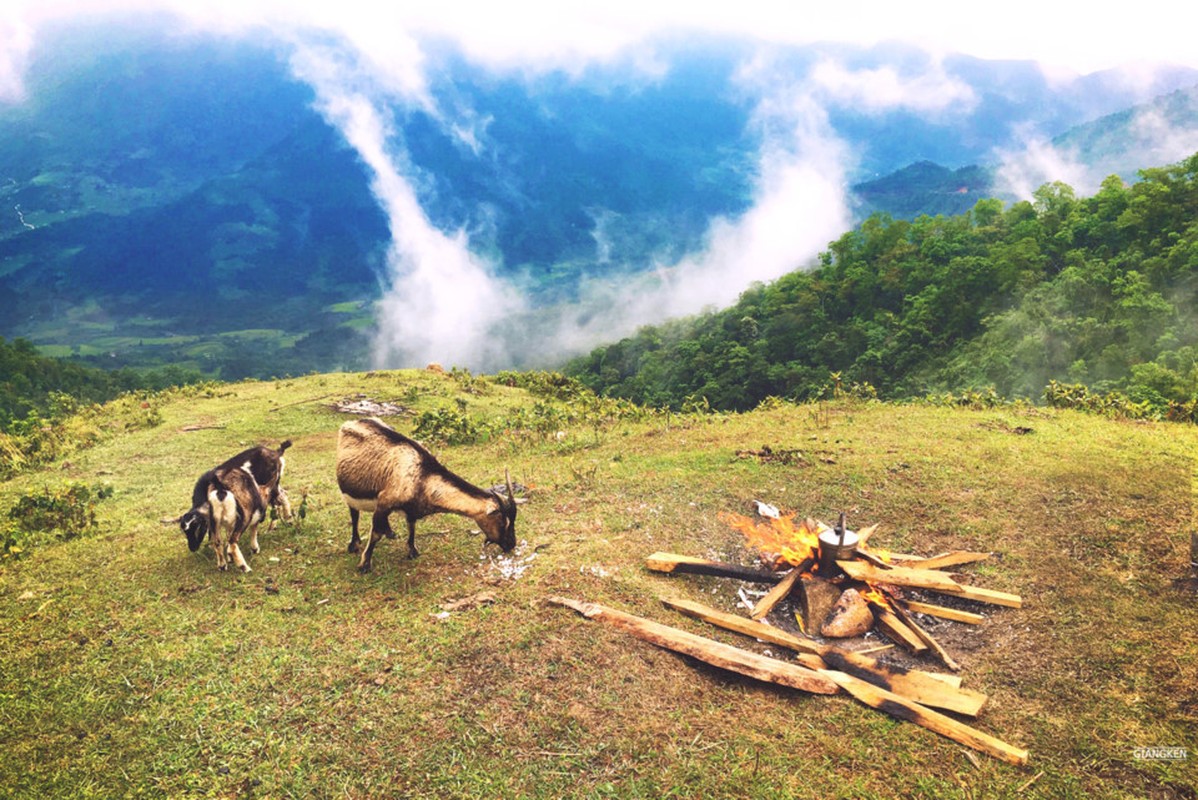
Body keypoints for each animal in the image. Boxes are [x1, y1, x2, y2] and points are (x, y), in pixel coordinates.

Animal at [337, 416, 524, 572]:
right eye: (503, 521)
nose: (511, 544)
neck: (422, 475)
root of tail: (353, 421)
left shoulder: (411, 510)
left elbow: (411, 527)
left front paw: (412, 551)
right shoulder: (384, 503)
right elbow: (375, 533)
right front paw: (364, 564)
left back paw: (390, 532)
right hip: (349, 493)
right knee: (354, 514)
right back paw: (354, 544)